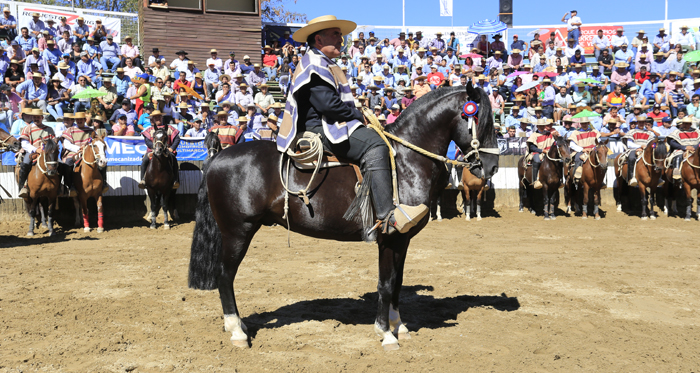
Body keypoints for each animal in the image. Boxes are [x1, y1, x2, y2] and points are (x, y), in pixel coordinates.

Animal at [189, 83, 500, 348]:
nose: (492, 166)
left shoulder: (403, 240)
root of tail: (217, 157)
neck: (405, 161)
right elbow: (386, 284)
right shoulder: (388, 238)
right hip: (238, 231)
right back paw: (237, 331)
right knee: (225, 276)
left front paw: (399, 326)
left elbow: (397, 283)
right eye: (481, 120)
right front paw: (385, 333)